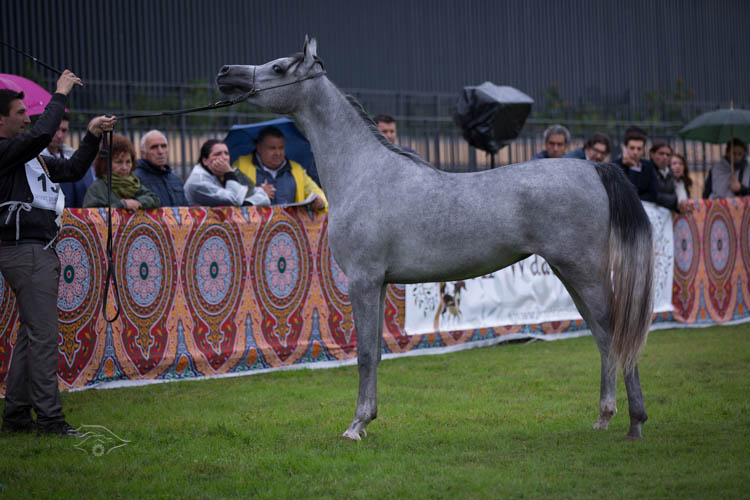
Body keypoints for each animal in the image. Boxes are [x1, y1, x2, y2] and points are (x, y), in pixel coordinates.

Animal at [216, 37, 654, 440]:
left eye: (278, 68)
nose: (225, 73)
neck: (364, 172)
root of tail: (596, 169)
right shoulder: (378, 284)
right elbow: (377, 352)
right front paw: (368, 419)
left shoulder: (362, 280)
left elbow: (364, 353)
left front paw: (356, 426)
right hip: (571, 275)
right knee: (604, 337)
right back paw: (604, 417)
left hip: (583, 273)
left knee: (616, 334)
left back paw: (634, 423)